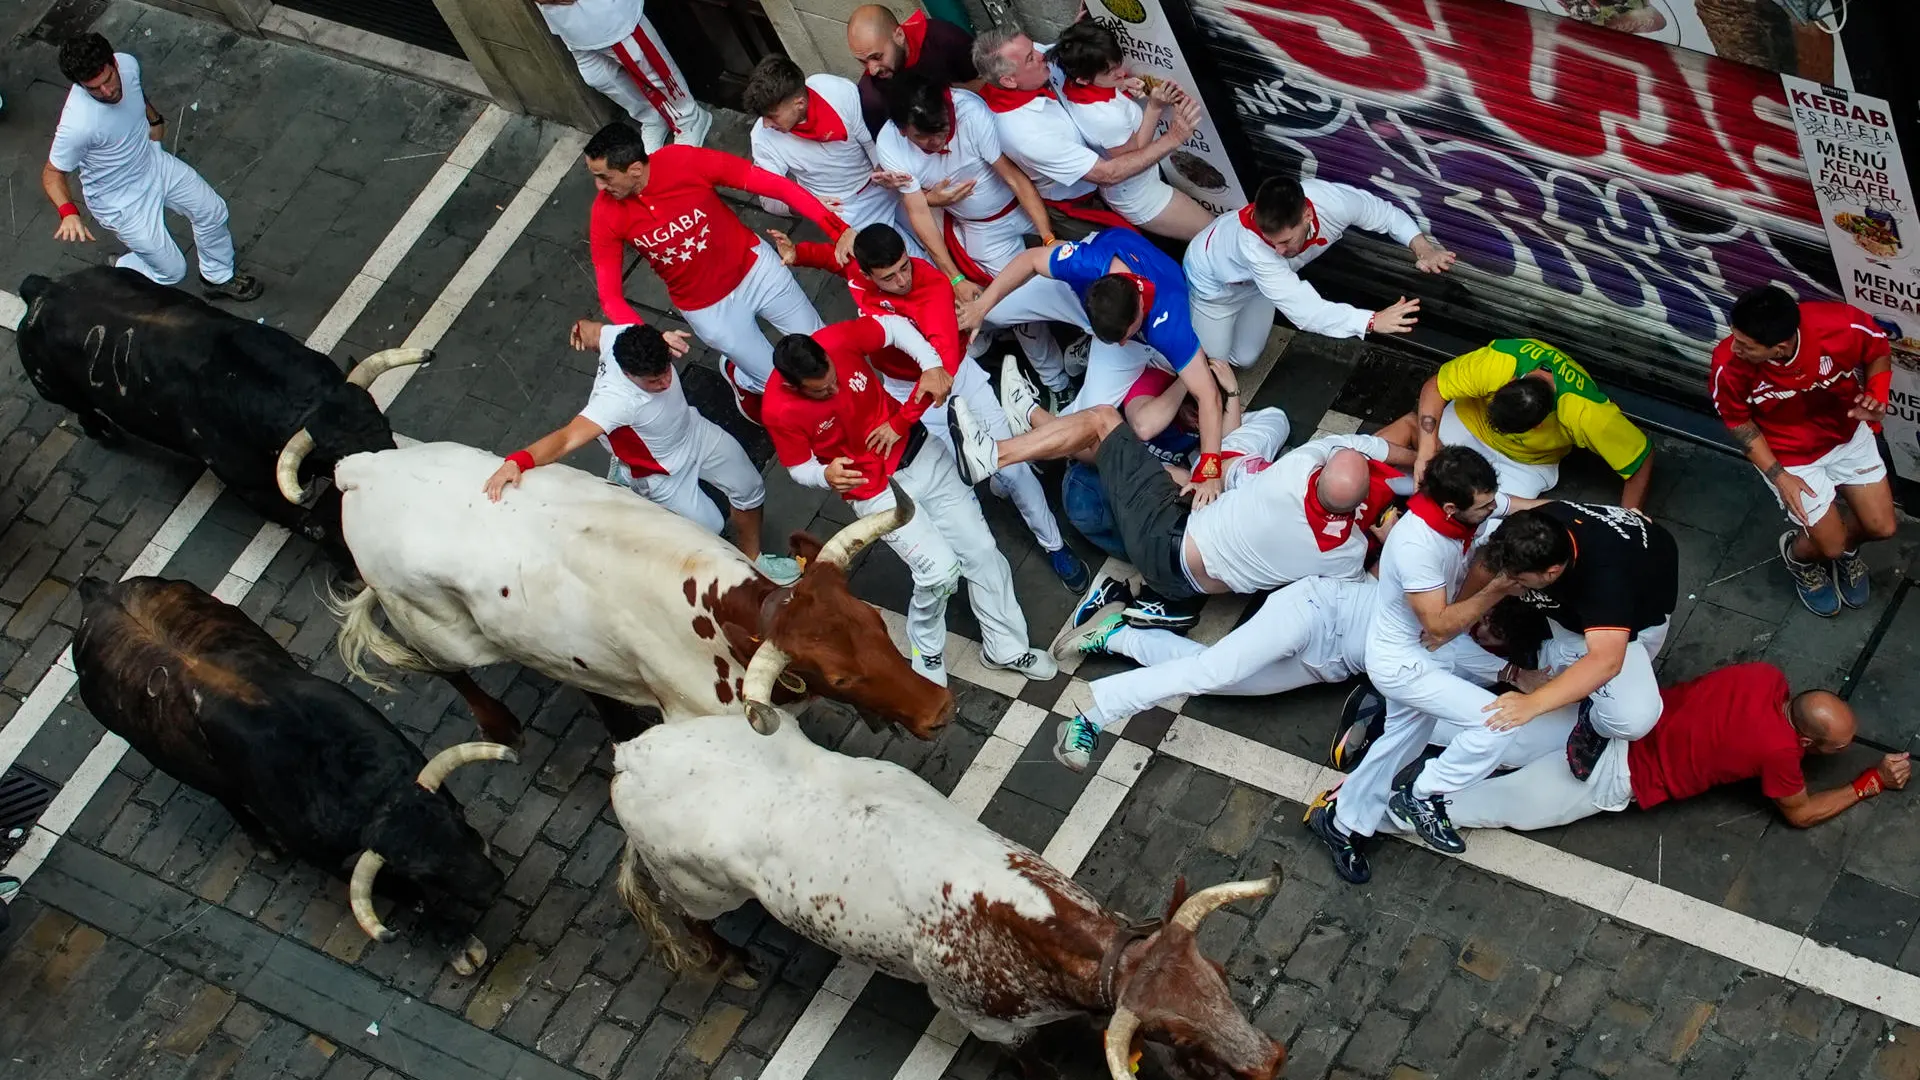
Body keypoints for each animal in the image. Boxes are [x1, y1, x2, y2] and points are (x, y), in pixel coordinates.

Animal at [18, 261, 426, 545]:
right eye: (341, 461)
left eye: (386, 427)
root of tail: (44, 288)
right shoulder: (253, 490)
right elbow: (314, 527)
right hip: (54, 389)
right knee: (83, 410)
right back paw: (104, 432)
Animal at [72, 576, 510, 953]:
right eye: (418, 869)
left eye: (456, 819)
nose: (492, 887)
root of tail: (96, 592)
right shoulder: (335, 860)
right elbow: (415, 899)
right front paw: (458, 943)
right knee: (226, 799)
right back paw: (264, 844)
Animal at [332, 441, 967, 745]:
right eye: (839, 677)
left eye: (876, 624)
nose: (940, 711)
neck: (722, 615)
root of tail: (360, 469)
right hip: (432, 626)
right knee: (447, 669)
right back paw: (498, 725)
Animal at [606, 711, 1282, 1068]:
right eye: (1176, 1035)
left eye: (1222, 976)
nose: (1269, 1062)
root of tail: (632, 754)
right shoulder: (990, 1026)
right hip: (697, 887)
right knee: (691, 918)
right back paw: (733, 963)